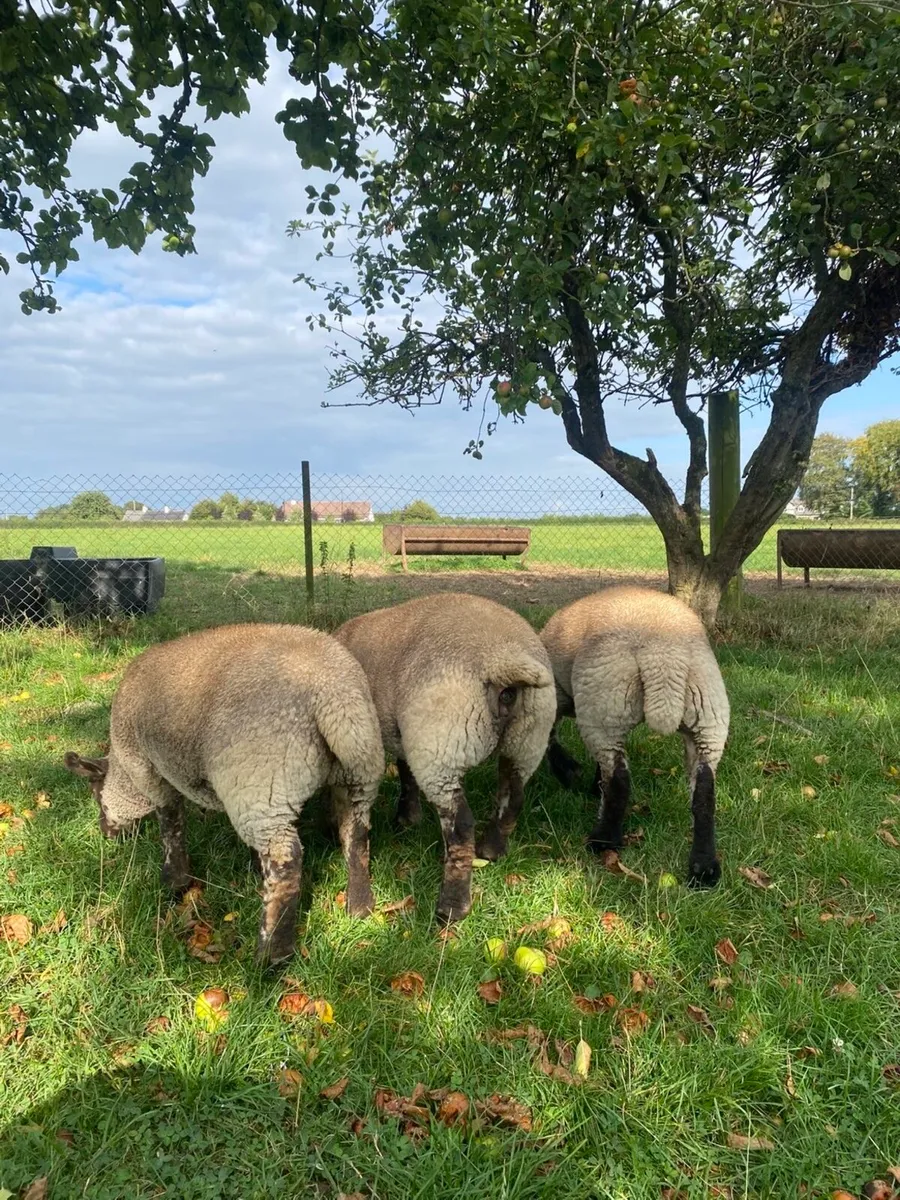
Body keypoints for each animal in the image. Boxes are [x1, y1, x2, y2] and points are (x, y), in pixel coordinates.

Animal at [63, 622, 384, 966]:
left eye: (96, 793)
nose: (104, 832)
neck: (124, 772)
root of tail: (336, 696)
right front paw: (253, 870)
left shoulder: (151, 773)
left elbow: (170, 824)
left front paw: (174, 882)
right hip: (356, 771)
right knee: (355, 835)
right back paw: (359, 907)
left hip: (263, 776)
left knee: (285, 860)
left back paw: (271, 955)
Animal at [333, 592, 557, 923]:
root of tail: (504, 662)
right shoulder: (404, 733)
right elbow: (404, 770)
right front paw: (408, 817)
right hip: (526, 740)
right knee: (512, 797)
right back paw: (491, 849)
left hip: (441, 746)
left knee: (461, 826)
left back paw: (451, 905)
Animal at [539, 586, 730, 887]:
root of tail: (663, 655)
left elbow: (549, 738)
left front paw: (569, 772)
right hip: (708, 715)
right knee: (704, 793)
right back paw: (704, 868)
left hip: (604, 705)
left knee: (619, 779)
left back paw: (603, 840)